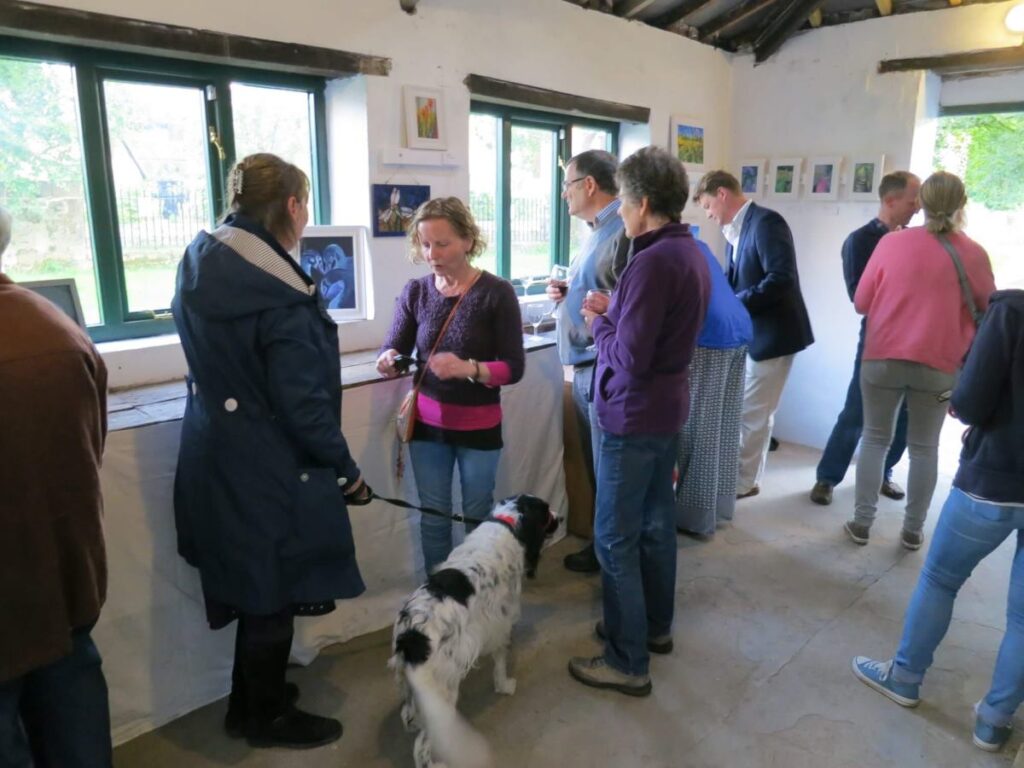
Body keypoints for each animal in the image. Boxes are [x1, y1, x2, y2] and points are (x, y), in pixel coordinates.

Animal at [387, 495, 557, 765]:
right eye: (547, 513)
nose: (560, 517)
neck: (508, 523)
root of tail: (412, 637)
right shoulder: (501, 623)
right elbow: (500, 661)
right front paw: (505, 686)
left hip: (413, 687)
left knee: (407, 714)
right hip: (441, 691)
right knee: (422, 745)